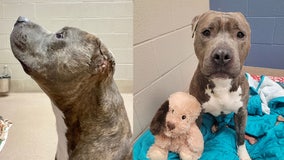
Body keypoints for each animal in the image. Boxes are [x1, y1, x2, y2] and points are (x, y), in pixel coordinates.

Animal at [190, 10, 252, 159]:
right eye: (206, 32)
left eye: (240, 34)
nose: (222, 55)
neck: (221, 83)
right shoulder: (197, 114)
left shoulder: (241, 112)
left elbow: (241, 136)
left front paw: (244, 154)